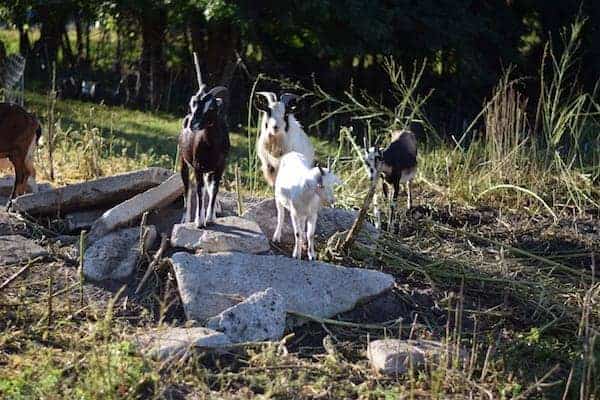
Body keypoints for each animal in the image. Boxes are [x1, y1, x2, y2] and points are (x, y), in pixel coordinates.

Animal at [178, 85, 230, 227]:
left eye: (211, 108)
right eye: (193, 104)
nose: (192, 124)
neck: (212, 147)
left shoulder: (219, 167)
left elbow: (214, 189)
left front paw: (210, 218)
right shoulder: (198, 167)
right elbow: (199, 191)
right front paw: (199, 222)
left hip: (208, 171)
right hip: (184, 163)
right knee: (188, 189)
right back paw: (185, 219)